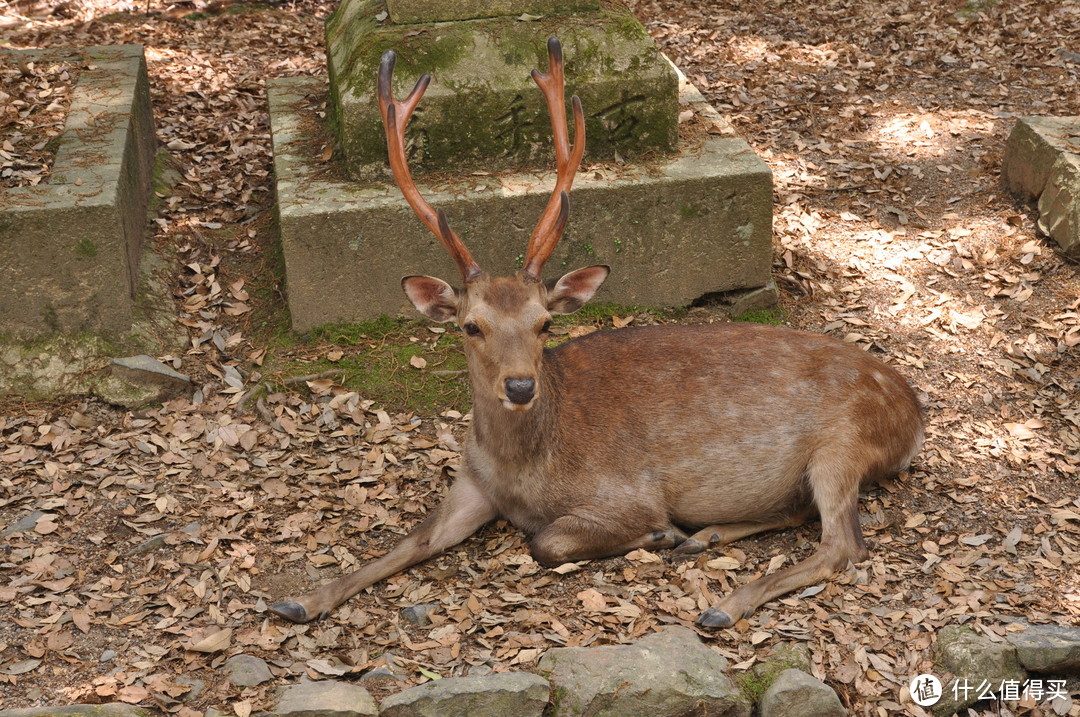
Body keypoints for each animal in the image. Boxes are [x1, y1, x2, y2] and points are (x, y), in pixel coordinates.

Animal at [265, 36, 924, 626]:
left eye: (544, 323)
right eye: (471, 326)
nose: (520, 387)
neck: (522, 470)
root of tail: (915, 415)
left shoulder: (627, 494)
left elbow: (546, 541)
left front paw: (658, 536)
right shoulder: (469, 484)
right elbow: (411, 541)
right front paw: (300, 601)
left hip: (843, 446)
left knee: (842, 544)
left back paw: (722, 601)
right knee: (799, 514)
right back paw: (706, 535)